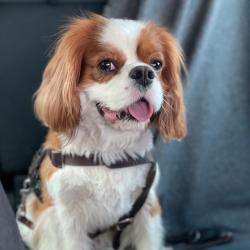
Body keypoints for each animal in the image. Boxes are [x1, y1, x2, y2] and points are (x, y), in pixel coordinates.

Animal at [16, 14, 186, 249]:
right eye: (106, 65)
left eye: (157, 64)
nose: (144, 72)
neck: (109, 152)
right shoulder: (67, 220)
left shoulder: (145, 207)